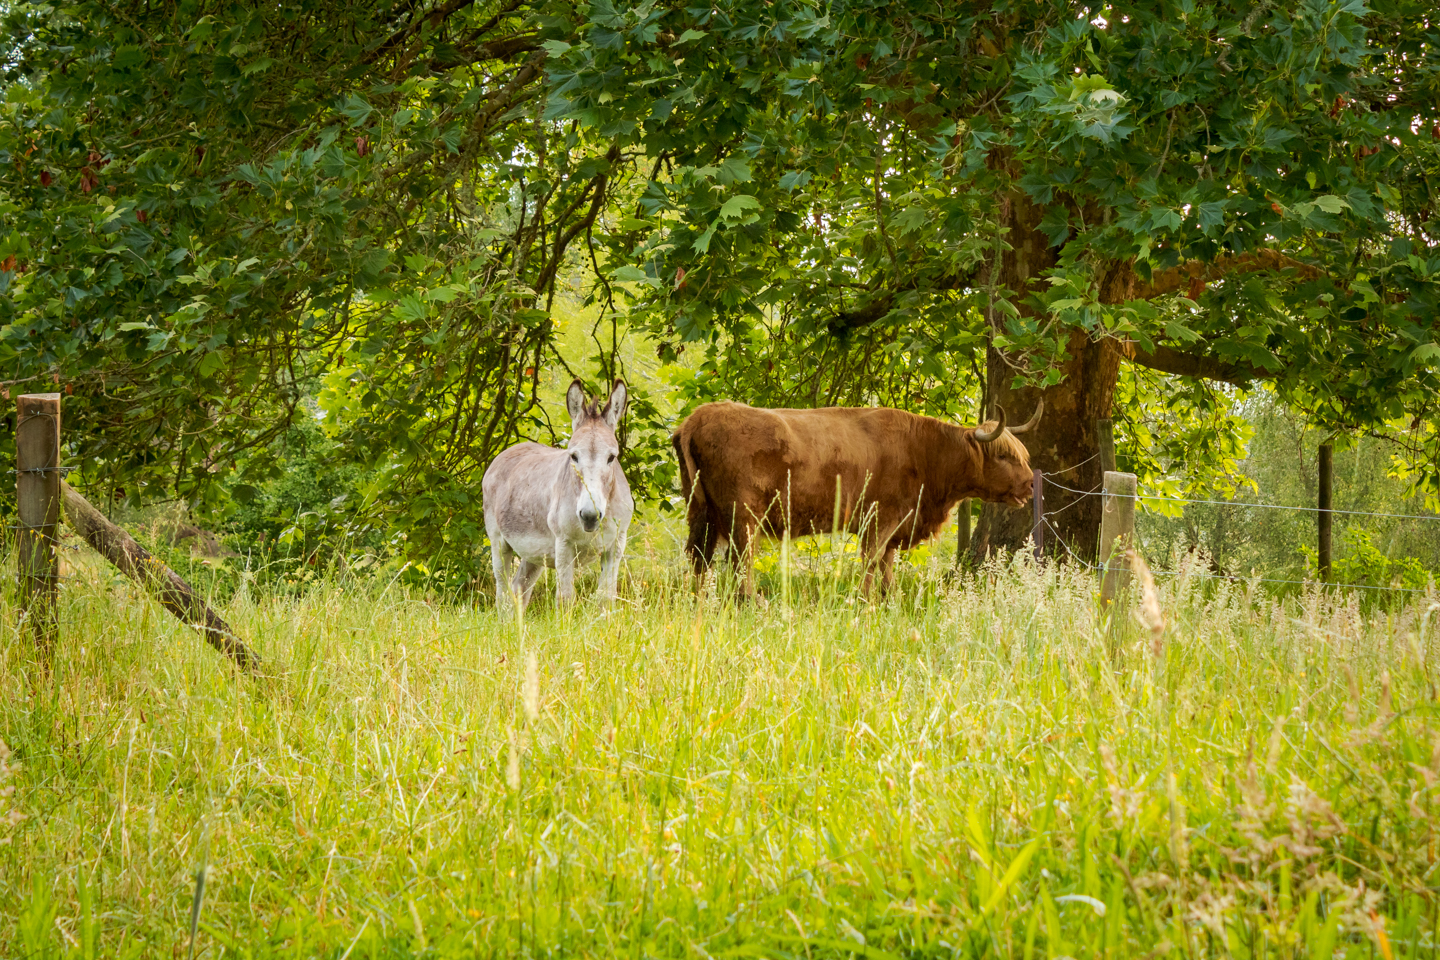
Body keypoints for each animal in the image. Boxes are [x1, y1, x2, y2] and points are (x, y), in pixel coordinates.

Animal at [668, 397, 1042, 592]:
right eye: (1004, 455)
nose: (1030, 484)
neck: (925, 451)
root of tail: (697, 418)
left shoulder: (892, 528)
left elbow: (886, 568)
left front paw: (889, 602)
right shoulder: (879, 521)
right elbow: (872, 564)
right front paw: (866, 603)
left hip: (702, 513)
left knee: (699, 558)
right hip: (742, 515)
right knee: (739, 560)